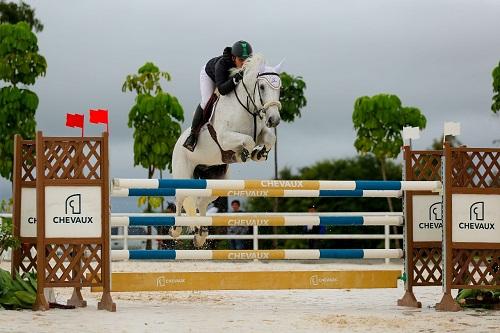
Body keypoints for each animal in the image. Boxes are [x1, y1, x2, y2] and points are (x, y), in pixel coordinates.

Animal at [171, 54, 282, 245]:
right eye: (261, 86)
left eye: (280, 87)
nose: (274, 120)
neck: (248, 108)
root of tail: (178, 143)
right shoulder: (224, 138)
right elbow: (248, 141)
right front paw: (242, 154)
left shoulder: (261, 133)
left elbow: (269, 138)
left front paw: (259, 154)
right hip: (182, 173)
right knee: (181, 198)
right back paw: (176, 229)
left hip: (217, 180)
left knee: (201, 202)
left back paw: (201, 234)